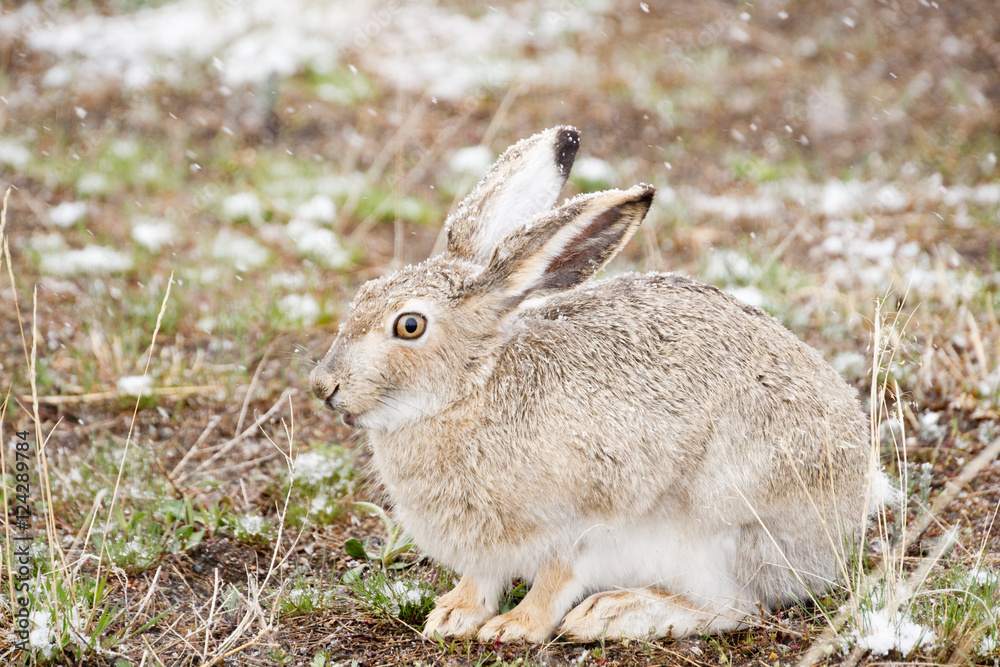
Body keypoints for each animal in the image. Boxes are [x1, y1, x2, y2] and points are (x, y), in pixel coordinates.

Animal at [310, 126, 878, 643]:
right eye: (364, 292)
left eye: (410, 326)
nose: (323, 386)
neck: (469, 390)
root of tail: (840, 528)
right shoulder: (490, 550)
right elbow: (482, 579)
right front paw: (452, 617)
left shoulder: (585, 523)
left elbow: (556, 579)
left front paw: (515, 628)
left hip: (721, 529)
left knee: (740, 608)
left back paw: (611, 614)